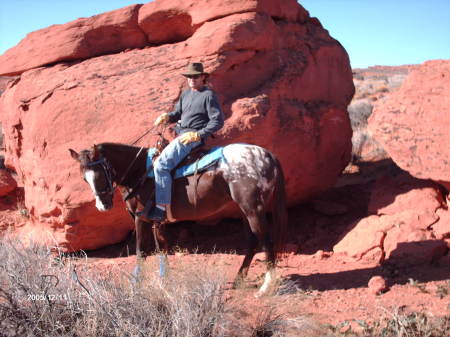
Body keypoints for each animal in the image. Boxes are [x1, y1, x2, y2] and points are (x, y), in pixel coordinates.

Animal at [70, 138, 288, 294]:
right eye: (84, 178)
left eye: (99, 173)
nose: (103, 206)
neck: (140, 172)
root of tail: (268, 155)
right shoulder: (158, 221)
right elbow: (162, 248)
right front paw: (164, 280)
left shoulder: (141, 218)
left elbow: (141, 251)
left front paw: (136, 283)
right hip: (244, 210)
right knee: (252, 241)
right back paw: (238, 280)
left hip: (253, 209)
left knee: (266, 240)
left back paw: (265, 287)